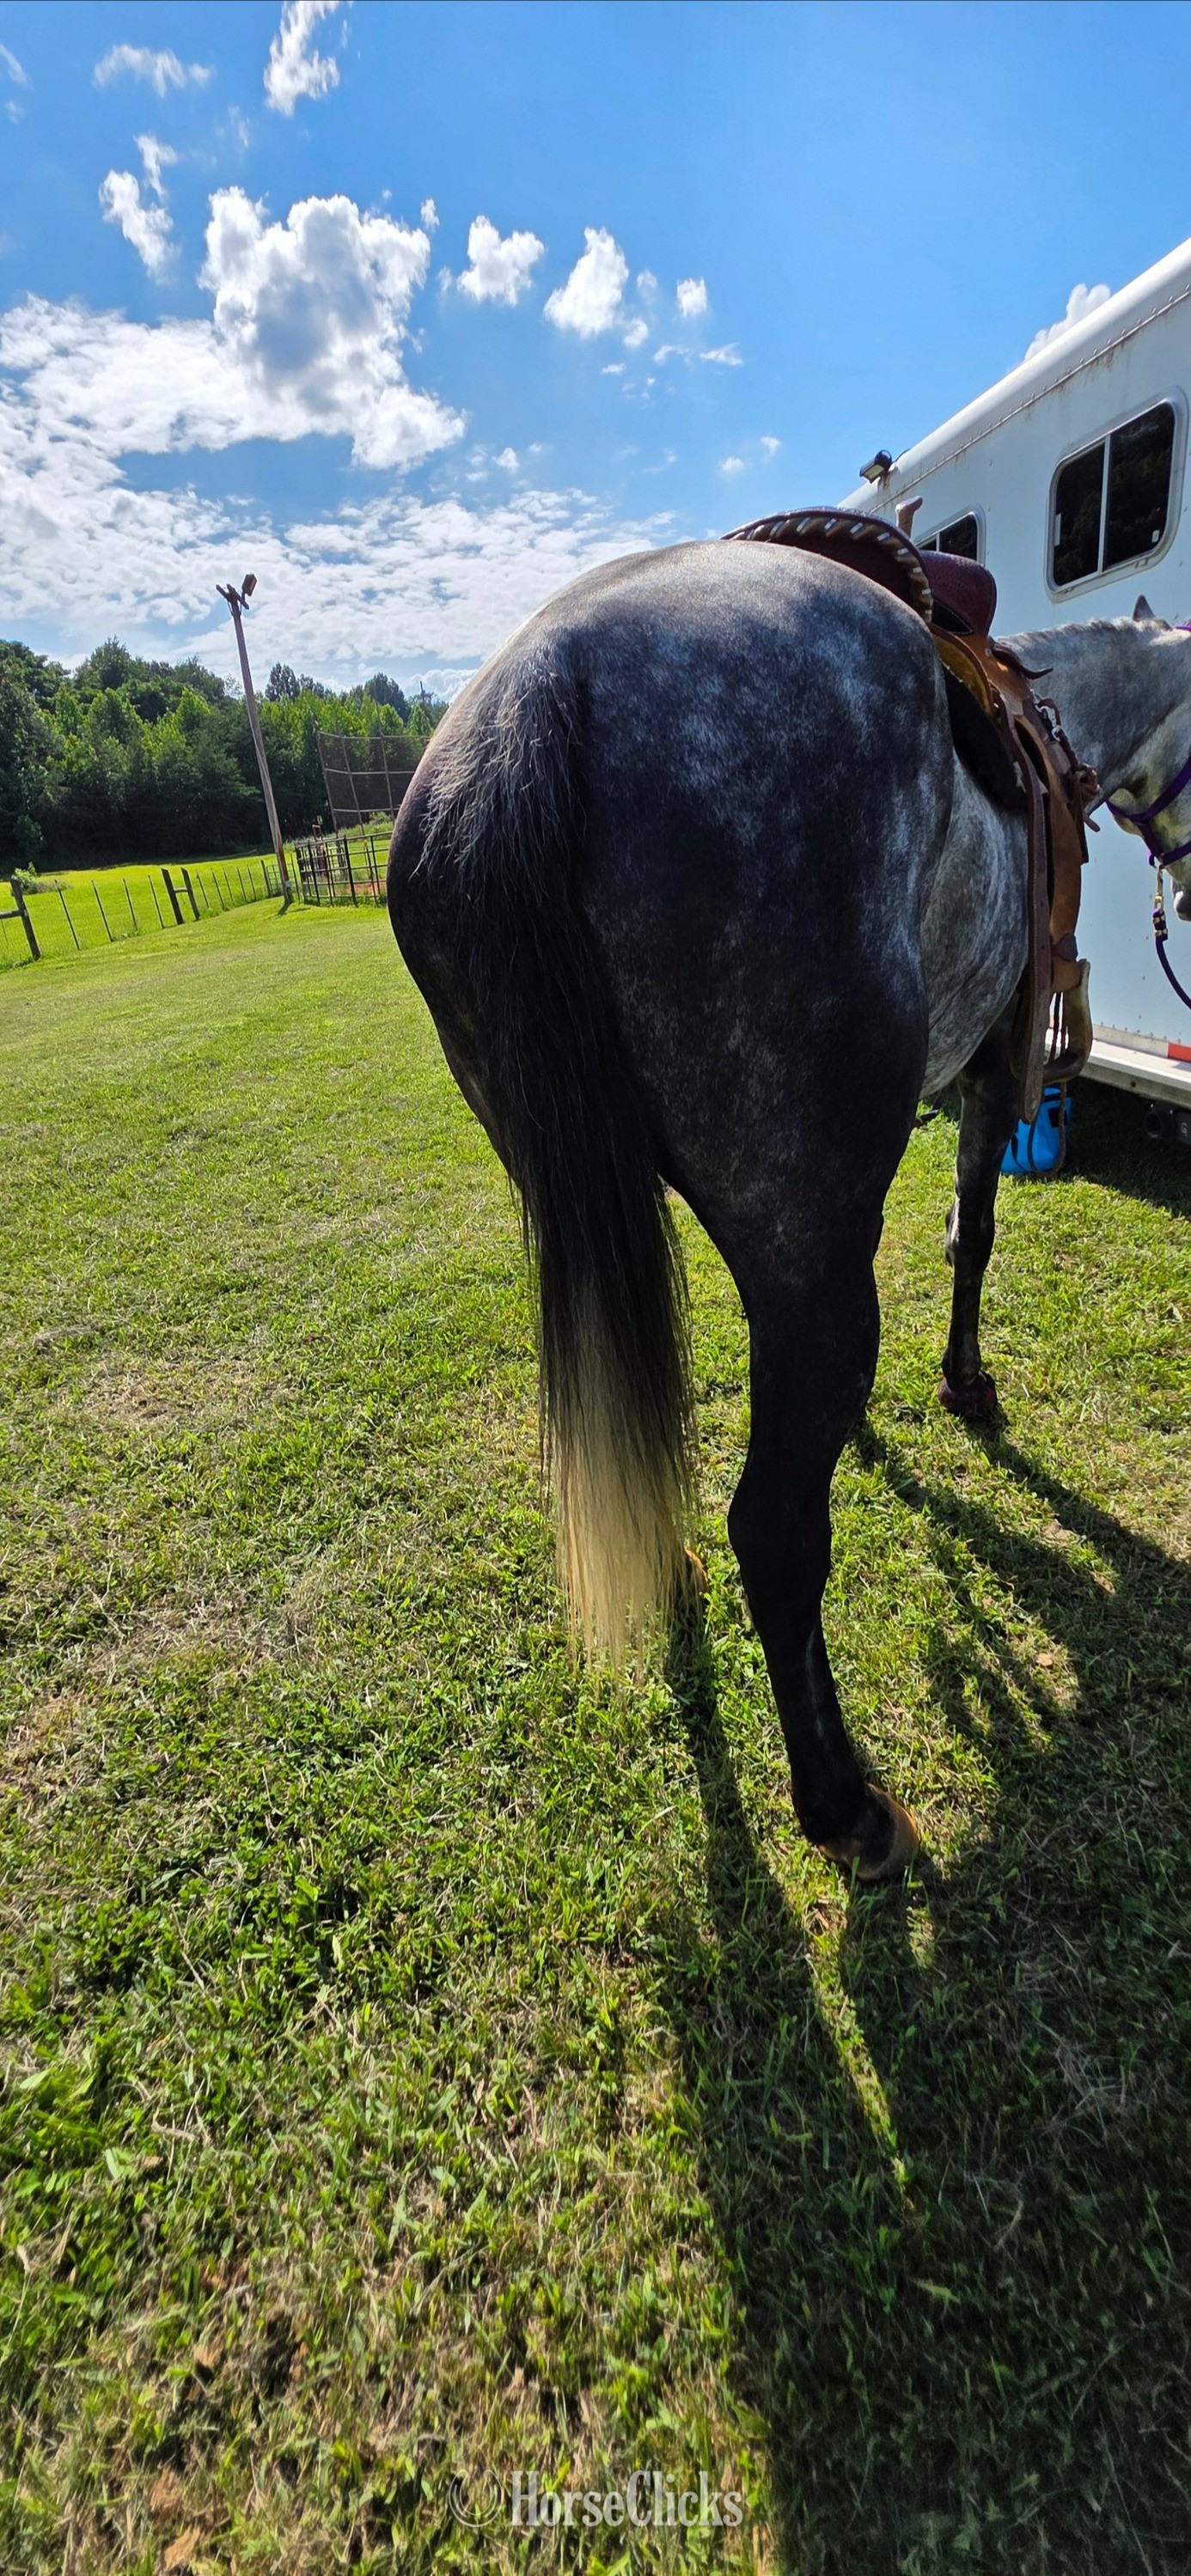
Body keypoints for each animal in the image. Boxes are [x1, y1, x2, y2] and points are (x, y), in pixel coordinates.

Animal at [386, 540, 1191, 1882]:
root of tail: (534, 703)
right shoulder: (990, 1067)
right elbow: (972, 1234)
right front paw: (965, 1385)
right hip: (806, 1251)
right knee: (773, 1529)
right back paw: (840, 1799)